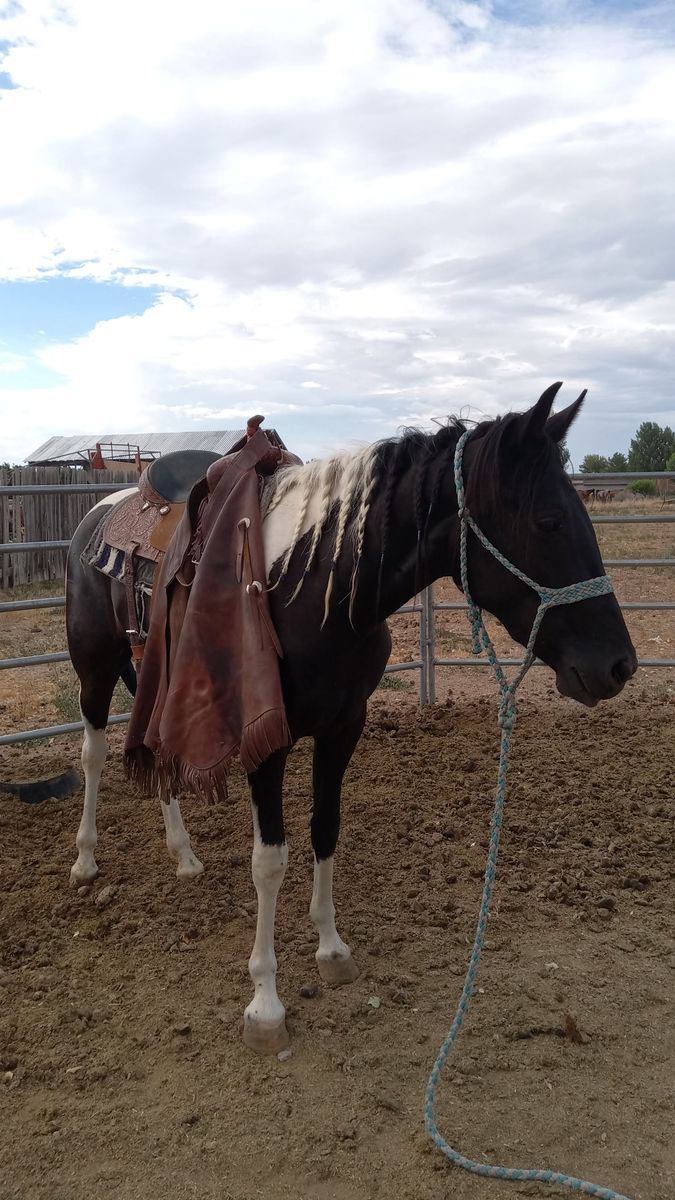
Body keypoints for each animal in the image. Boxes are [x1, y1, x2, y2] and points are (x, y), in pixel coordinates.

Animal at [65, 383, 636, 1053]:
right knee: (94, 754)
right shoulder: (266, 742)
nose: (619, 665)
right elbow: (270, 861)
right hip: (95, 669)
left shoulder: (343, 728)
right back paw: (85, 860)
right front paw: (265, 1004)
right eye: (547, 522)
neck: (317, 585)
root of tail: (102, 511)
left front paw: (332, 950)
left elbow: (326, 830)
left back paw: (183, 855)